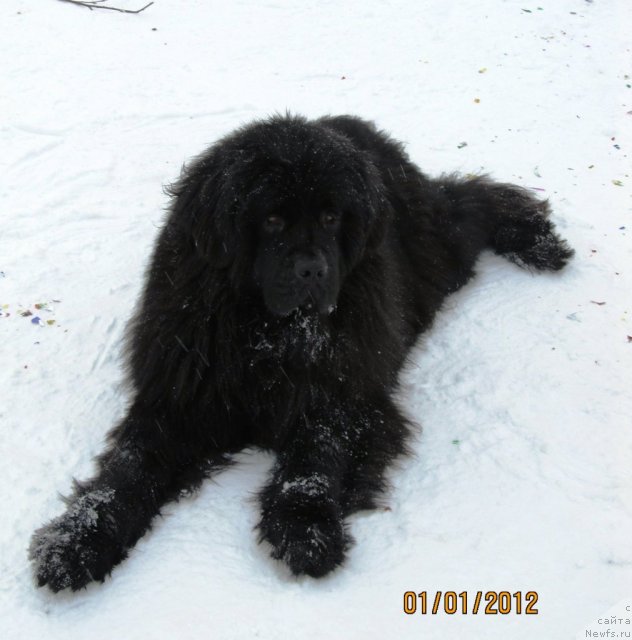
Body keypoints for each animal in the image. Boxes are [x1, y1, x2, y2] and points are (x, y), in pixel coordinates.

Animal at [28, 114, 572, 592]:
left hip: (435, 257)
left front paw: (305, 529)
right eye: (271, 220)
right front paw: (75, 542)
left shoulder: (344, 393)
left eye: (331, 218)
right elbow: (127, 470)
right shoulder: (179, 396)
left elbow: (316, 456)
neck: (267, 333)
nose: (312, 270)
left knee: (471, 202)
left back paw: (539, 241)